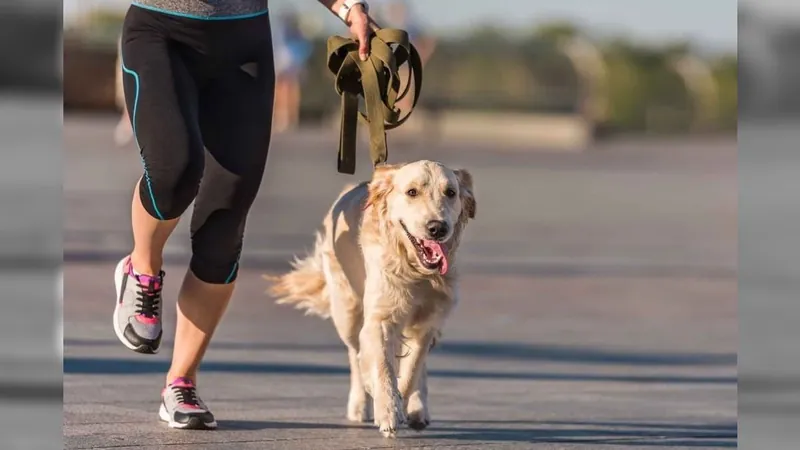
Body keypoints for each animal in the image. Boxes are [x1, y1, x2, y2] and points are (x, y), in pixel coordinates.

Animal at [266, 161, 476, 436]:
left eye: (450, 192)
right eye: (412, 192)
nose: (437, 228)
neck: (416, 271)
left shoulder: (428, 322)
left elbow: (411, 371)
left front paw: (402, 403)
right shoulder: (380, 318)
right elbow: (382, 365)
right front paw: (387, 408)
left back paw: (418, 409)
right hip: (347, 312)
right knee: (355, 355)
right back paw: (360, 402)